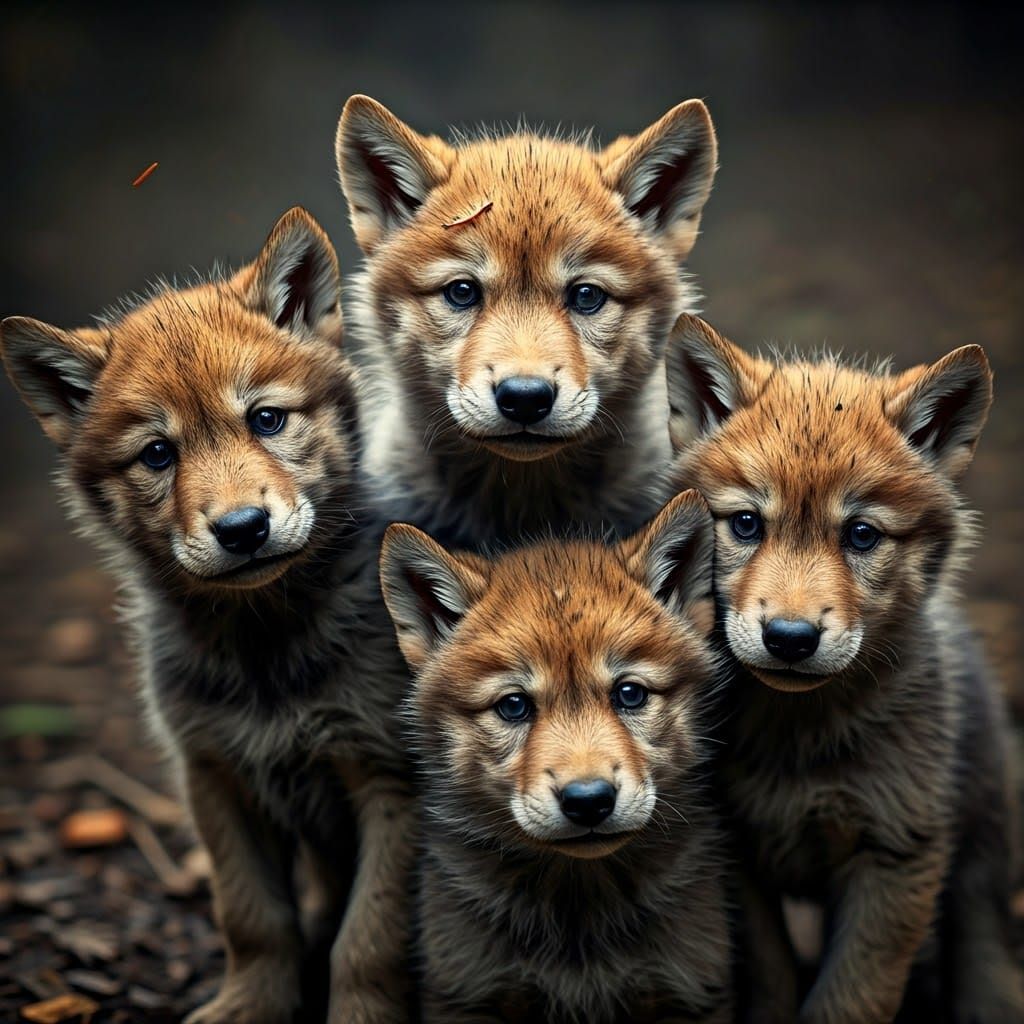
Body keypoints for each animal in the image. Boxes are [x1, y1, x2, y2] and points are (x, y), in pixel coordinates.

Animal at [1, 209, 414, 1024]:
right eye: (158, 454)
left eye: (267, 419)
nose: (243, 528)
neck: (264, 645)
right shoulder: (214, 775)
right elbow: (253, 919)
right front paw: (250, 1005)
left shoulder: (388, 780)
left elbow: (369, 940)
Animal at [378, 490, 734, 1023]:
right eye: (514, 705)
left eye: (629, 694)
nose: (588, 801)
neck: (576, 904)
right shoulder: (465, 993)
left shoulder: (691, 994)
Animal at [667, 314, 1023, 1023]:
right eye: (746, 524)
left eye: (861, 535)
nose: (790, 638)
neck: (800, 739)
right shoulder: (737, 858)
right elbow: (773, 984)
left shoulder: (896, 854)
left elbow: (850, 998)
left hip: (981, 838)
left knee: (985, 942)